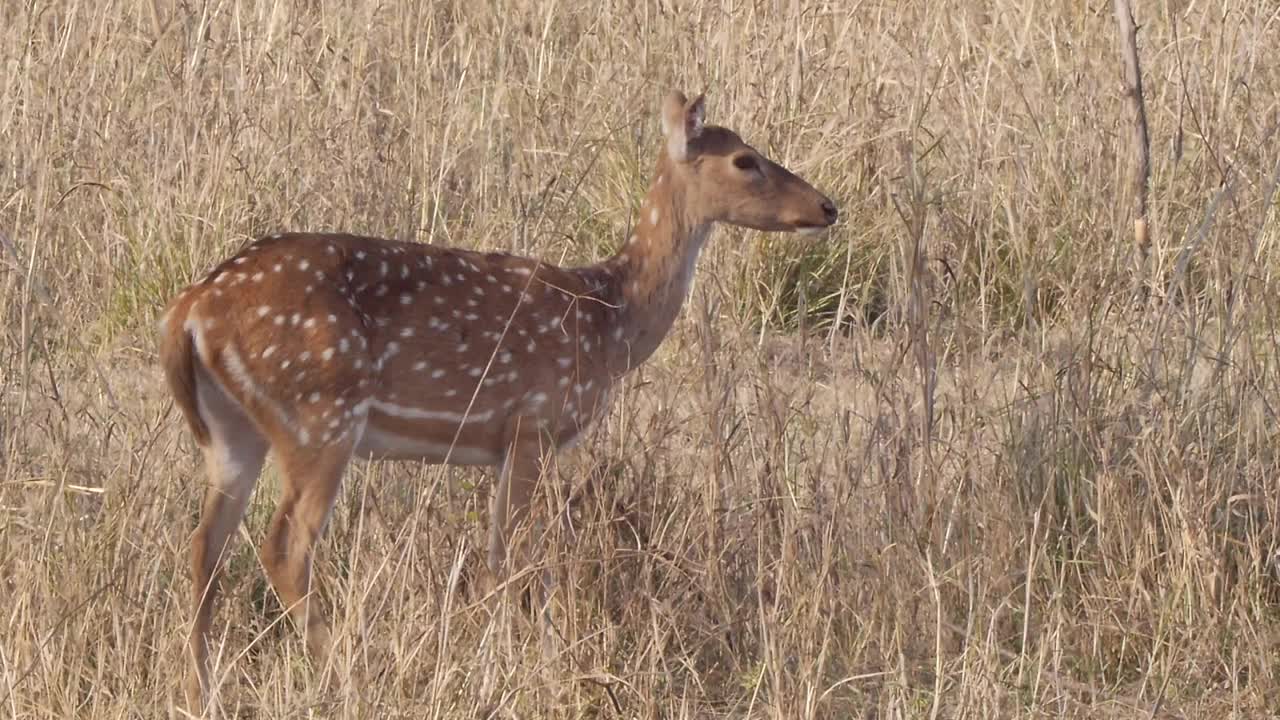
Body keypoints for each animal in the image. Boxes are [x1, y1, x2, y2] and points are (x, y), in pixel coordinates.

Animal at [160, 88, 834, 707]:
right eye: (745, 159)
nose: (827, 206)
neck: (608, 322)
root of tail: (190, 309)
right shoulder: (532, 425)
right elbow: (509, 562)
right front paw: (526, 669)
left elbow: (496, 558)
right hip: (320, 413)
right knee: (283, 547)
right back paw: (351, 676)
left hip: (233, 431)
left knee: (204, 547)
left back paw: (199, 692)